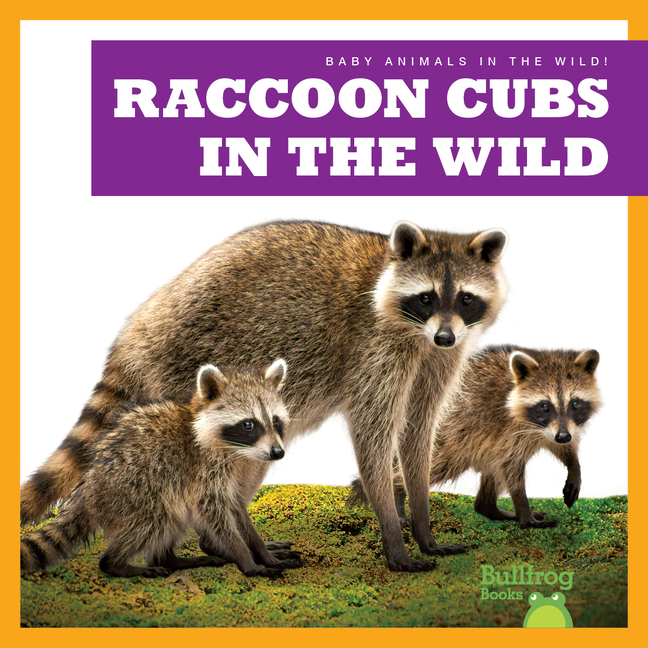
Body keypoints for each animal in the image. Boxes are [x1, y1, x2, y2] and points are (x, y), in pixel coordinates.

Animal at [21, 360, 302, 578]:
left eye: (275, 421)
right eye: (248, 424)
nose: (278, 453)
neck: (236, 451)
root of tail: (89, 491)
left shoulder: (236, 475)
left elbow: (237, 510)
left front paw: (261, 551)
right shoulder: (204, 471)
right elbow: (214, 513)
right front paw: (245, 558)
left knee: (172, 521)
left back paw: (170, 559)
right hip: (134, 491)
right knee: (155, 520)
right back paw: (118, 563)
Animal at [350, 346, 601, 529]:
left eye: (575, 403)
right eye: (545, 406)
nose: (563, 436)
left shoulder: (554, 430)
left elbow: (561, 448)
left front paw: (574, 466)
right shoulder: (510, 430)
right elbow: (512, 469)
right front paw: (524, 511)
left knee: (492, 471)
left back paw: (489, 507)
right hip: (450, 437)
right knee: (428, 467)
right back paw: (398, 493)